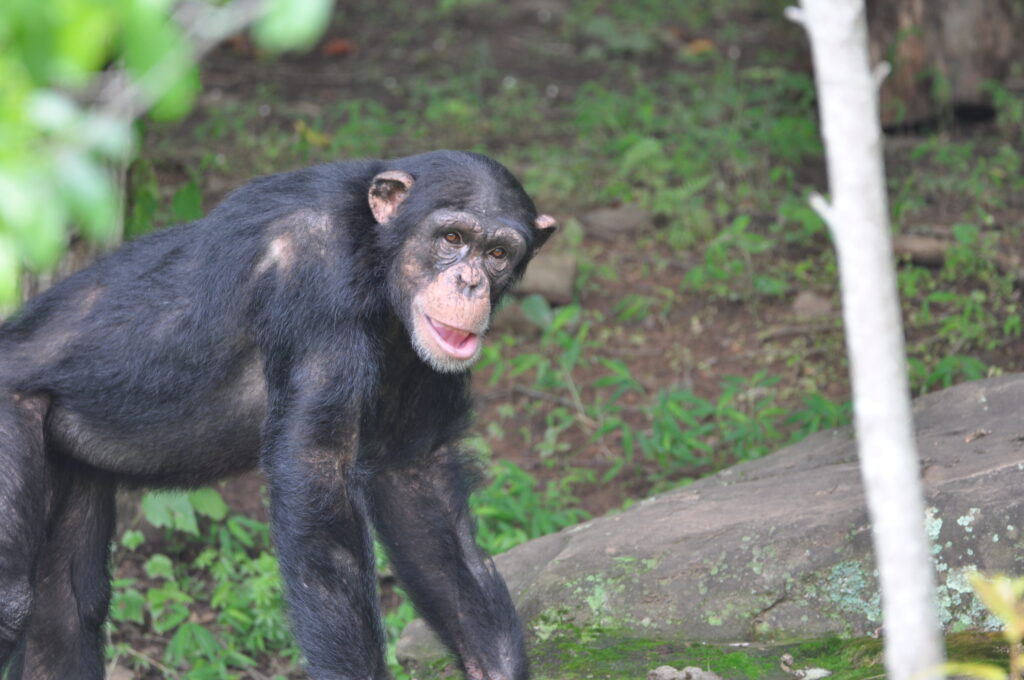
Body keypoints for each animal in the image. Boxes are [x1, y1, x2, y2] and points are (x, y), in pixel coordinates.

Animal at [0, 151, 552, 675]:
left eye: (498, 253)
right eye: (451, 236)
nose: (470, 283)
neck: (376, 253)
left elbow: (416, 479)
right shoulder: (317, 280)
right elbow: (316, 472)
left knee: (63, 612)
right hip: (9, 421)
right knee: (13, 602)